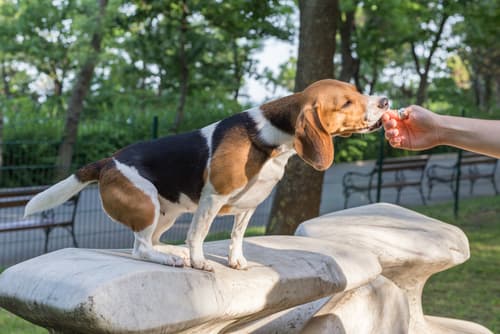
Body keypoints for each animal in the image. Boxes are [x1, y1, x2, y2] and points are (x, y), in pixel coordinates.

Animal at [25, 80, 388, 272]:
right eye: (347, 102)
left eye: (358, 91)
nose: (385, 101)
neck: (269, 137)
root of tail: (107, 161)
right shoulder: (213, 198)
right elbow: (198, 234)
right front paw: (200, 262)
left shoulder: (248, 206)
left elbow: (237, 236)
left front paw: (236, 260)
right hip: (146, 205)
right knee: (140, 248)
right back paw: (171, 259)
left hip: (166, 213)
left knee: (151, 241)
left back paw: (173, 253)